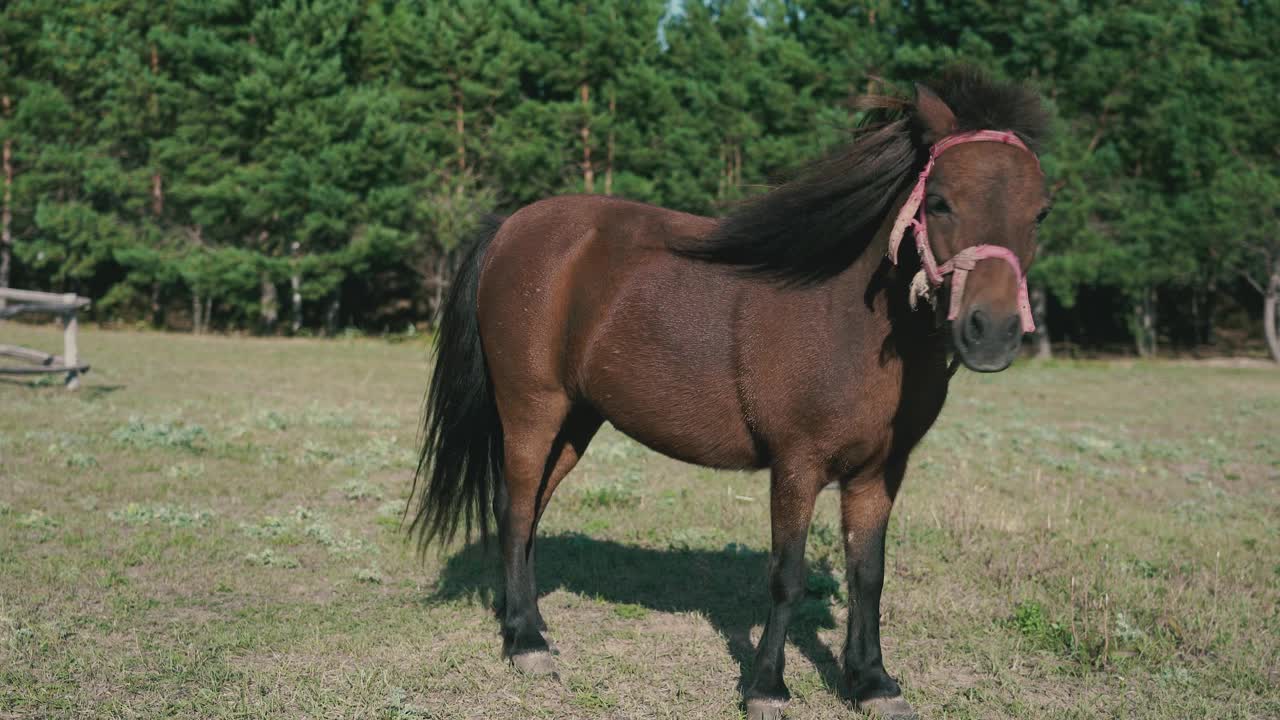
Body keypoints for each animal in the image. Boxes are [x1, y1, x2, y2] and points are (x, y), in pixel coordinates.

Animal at [412, 68, 1049, 717]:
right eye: (940, 201)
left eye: (1040, 213)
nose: (992, 332)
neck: (848, 320)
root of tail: (510, 228)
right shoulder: (797, 464)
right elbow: (786, 575)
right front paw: (766, 684)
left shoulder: (879, 473)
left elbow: (868, 575)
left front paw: (871, 680)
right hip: (532, 409)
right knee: (514, 508)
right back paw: (526, 643)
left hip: (577, 420)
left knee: (531, 511)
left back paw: (527, 620)